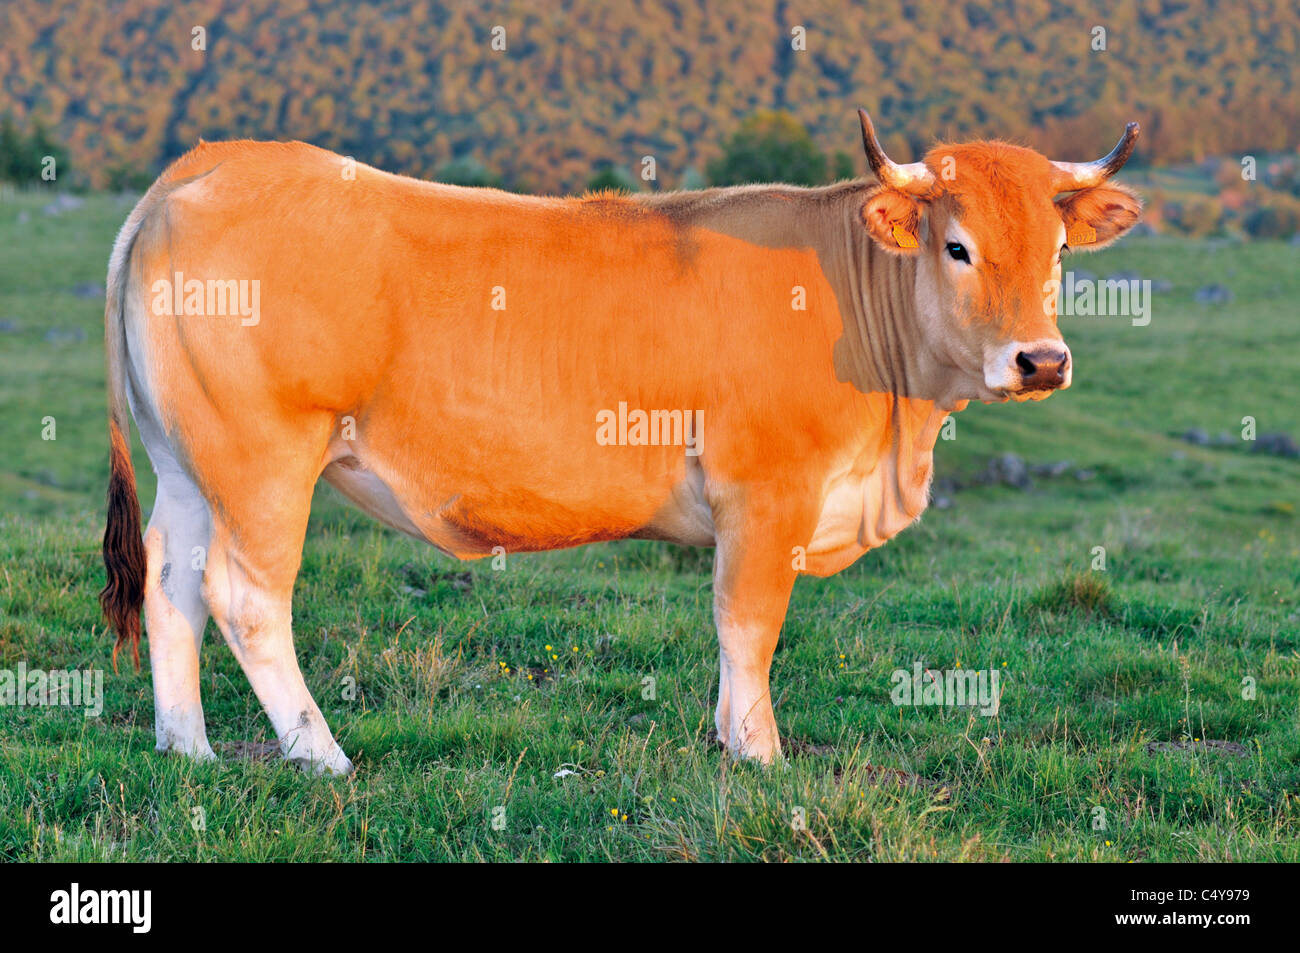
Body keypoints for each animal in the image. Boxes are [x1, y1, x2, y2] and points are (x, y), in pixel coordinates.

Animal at [98, 111, 1138, 769]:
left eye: (1059, 250)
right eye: (956, 246)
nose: (1040, 360)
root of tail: (208, 163)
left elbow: (732, 632)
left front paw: (728, 739)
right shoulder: (766, 493)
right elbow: (748, 623)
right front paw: (760, 755)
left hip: (188, 464)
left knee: (171, 581)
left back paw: (188, 748)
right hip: (264, 462)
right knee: (245, 597)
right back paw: (321, 754)